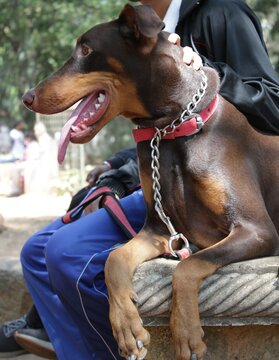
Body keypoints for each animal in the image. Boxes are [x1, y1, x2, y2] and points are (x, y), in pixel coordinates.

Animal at [22, 3, 279, 360]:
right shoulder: (158, 230)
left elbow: (189, 265)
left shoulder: (256, 229)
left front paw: (185, 331)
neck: (169, 130)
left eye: (86, 50)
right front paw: (126, 327)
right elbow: (114, 260)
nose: (27, 97)